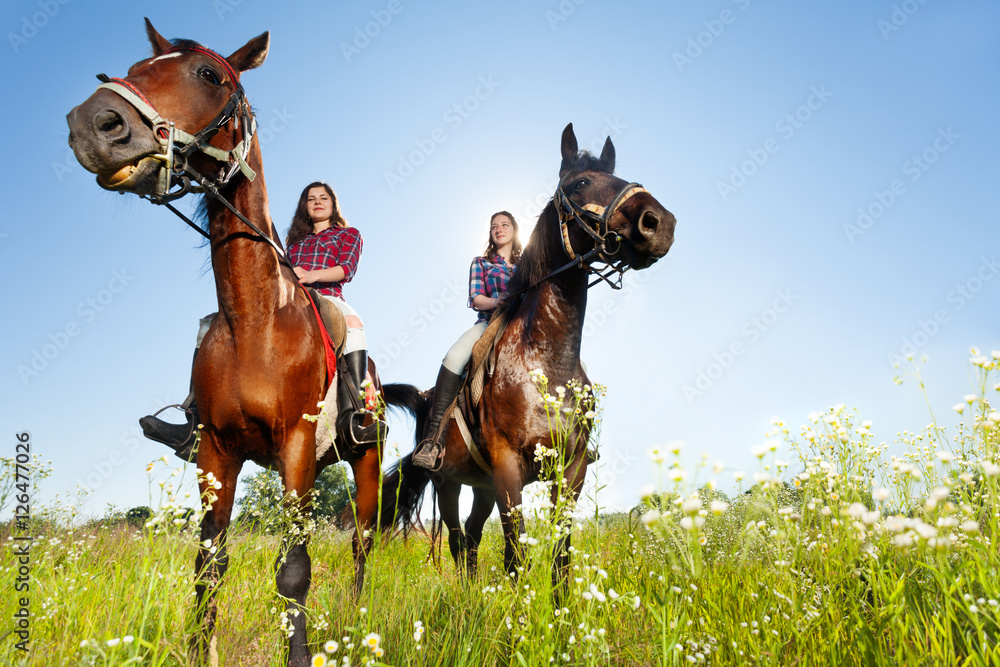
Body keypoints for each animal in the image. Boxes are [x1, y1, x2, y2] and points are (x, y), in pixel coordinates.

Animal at [66, 18, 390, 664]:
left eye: (210, 75)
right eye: (136, 67)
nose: (93, 124)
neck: (255, 321)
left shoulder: (296, 447)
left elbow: (294, 569)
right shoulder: (216, 452)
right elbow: (208, 565)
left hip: (365, 462)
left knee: (362, 546)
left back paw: (358, 621)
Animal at [378, 124, 676, 584]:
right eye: (581, 183)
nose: (659, 223)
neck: (546, 363)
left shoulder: (571, 470)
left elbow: (559, 555)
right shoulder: (508, 467)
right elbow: (516, 551)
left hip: (481, 486)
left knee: (471, 538)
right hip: (449, 482)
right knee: (456, 540)